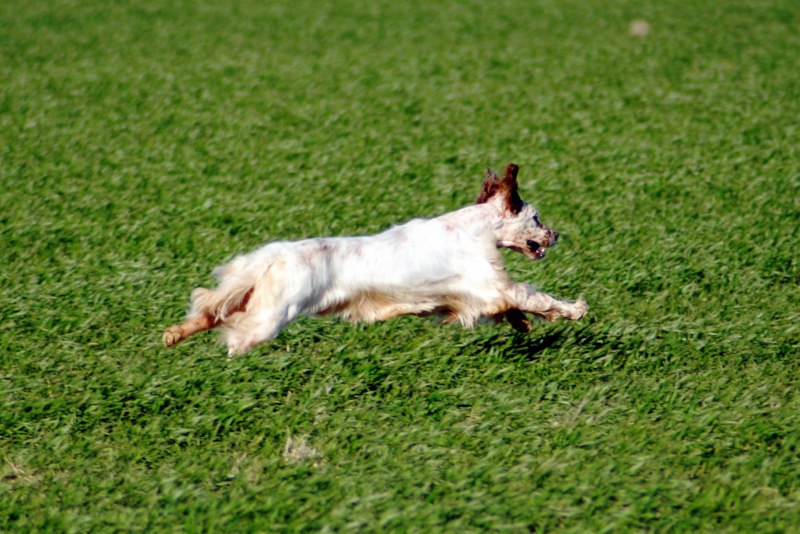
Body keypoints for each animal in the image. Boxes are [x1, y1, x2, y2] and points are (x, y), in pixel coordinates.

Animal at [163, 163, 587, 355]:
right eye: (537, 218)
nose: (556, 234)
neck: (475, 228)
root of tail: (273, 255)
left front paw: (523, 324)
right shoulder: (489, 285)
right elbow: (535, 297)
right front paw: (576, 309)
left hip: (248, 295)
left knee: (207, 310)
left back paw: (172, 335)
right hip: (270, 316)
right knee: (234, 331)